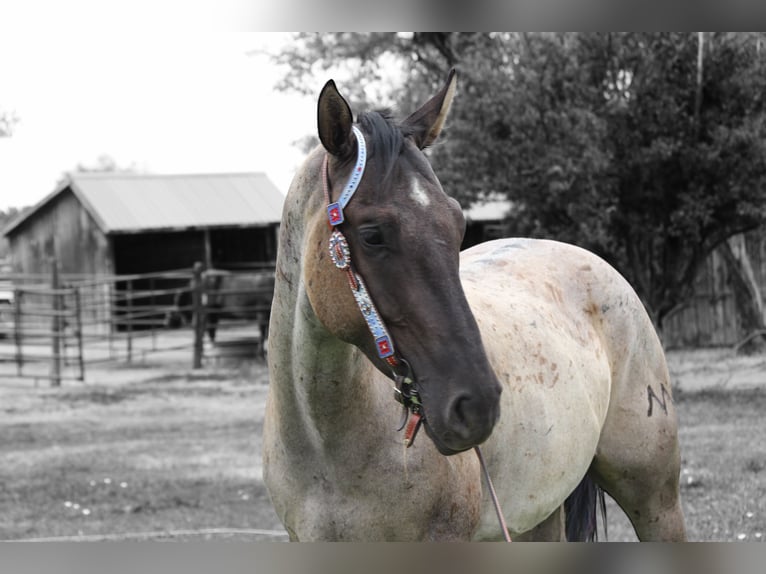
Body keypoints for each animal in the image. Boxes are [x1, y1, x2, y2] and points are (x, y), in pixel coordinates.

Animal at [262, 69, 687, 541]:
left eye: (458, 223)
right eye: (372, 235)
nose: (478, 403)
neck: (327, 446)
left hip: (655, 499)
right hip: (538, 515)